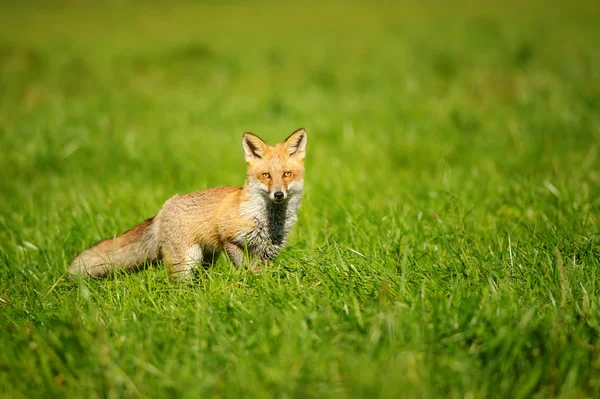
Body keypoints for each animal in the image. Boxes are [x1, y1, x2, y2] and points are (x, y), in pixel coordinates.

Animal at [68, 128, 308, 282]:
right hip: (186, 261)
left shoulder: (268, 251)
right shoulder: (229, 238)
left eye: (286, 174)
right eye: (266, 175)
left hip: (206, 258)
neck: (268, 220)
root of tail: (165, 207)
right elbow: (246, 269)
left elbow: (262, 272)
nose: (278, 194)